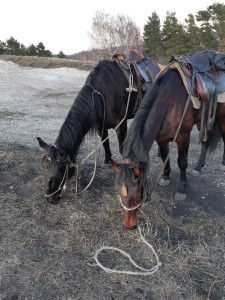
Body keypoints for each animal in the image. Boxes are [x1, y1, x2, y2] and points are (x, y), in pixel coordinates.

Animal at [37, 48, 160, 204]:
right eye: (43, 169)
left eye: (59, 172)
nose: (50, 199)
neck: (102, 93)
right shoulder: (101, 126)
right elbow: (105, 143)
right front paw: (107, 161)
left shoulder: (121, 124)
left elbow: (121, 148)